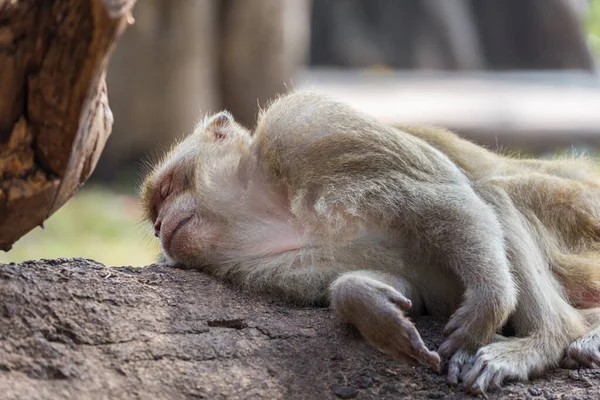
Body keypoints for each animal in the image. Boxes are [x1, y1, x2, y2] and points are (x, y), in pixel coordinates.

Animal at [141, 91, 600, 394]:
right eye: (154, 217)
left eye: (166, 189)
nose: (160, 226)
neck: (269, 204)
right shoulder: (254, 264)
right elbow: (407, 287)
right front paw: (370, 306)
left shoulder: (308, 126)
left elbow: (446, 201)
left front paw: (488, 304)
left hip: (581, 218)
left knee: (494, 194)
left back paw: (548, 339)